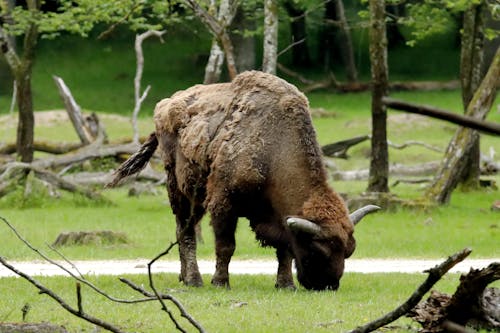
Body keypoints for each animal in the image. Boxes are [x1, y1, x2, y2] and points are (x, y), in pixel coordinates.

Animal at [111, 70, 378, 290]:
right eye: (318, 249)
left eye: (349, 250)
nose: (327, 285)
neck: (275, 149)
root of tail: (165, 105)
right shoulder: (223, 205)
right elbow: (226, 246)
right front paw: (220, 282)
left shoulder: (278, 217)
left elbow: (284, 250)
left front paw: (285, 284)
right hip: (180, 191)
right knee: (185, 232)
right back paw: (194, 280)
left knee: (184, 230)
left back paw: (184, 277)